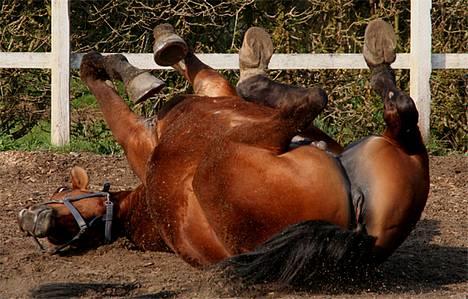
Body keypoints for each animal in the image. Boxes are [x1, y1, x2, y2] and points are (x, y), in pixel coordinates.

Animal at [18, 19, 428, 288]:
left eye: (59, 191)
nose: (29, 219)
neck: (136, 208)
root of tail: (358, 240)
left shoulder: (202, 97)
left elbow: (186, 61)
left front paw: (162, 44)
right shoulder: (145, 133)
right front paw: (139, 75)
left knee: (399, 113)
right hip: (243, 148)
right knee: (316, 100)